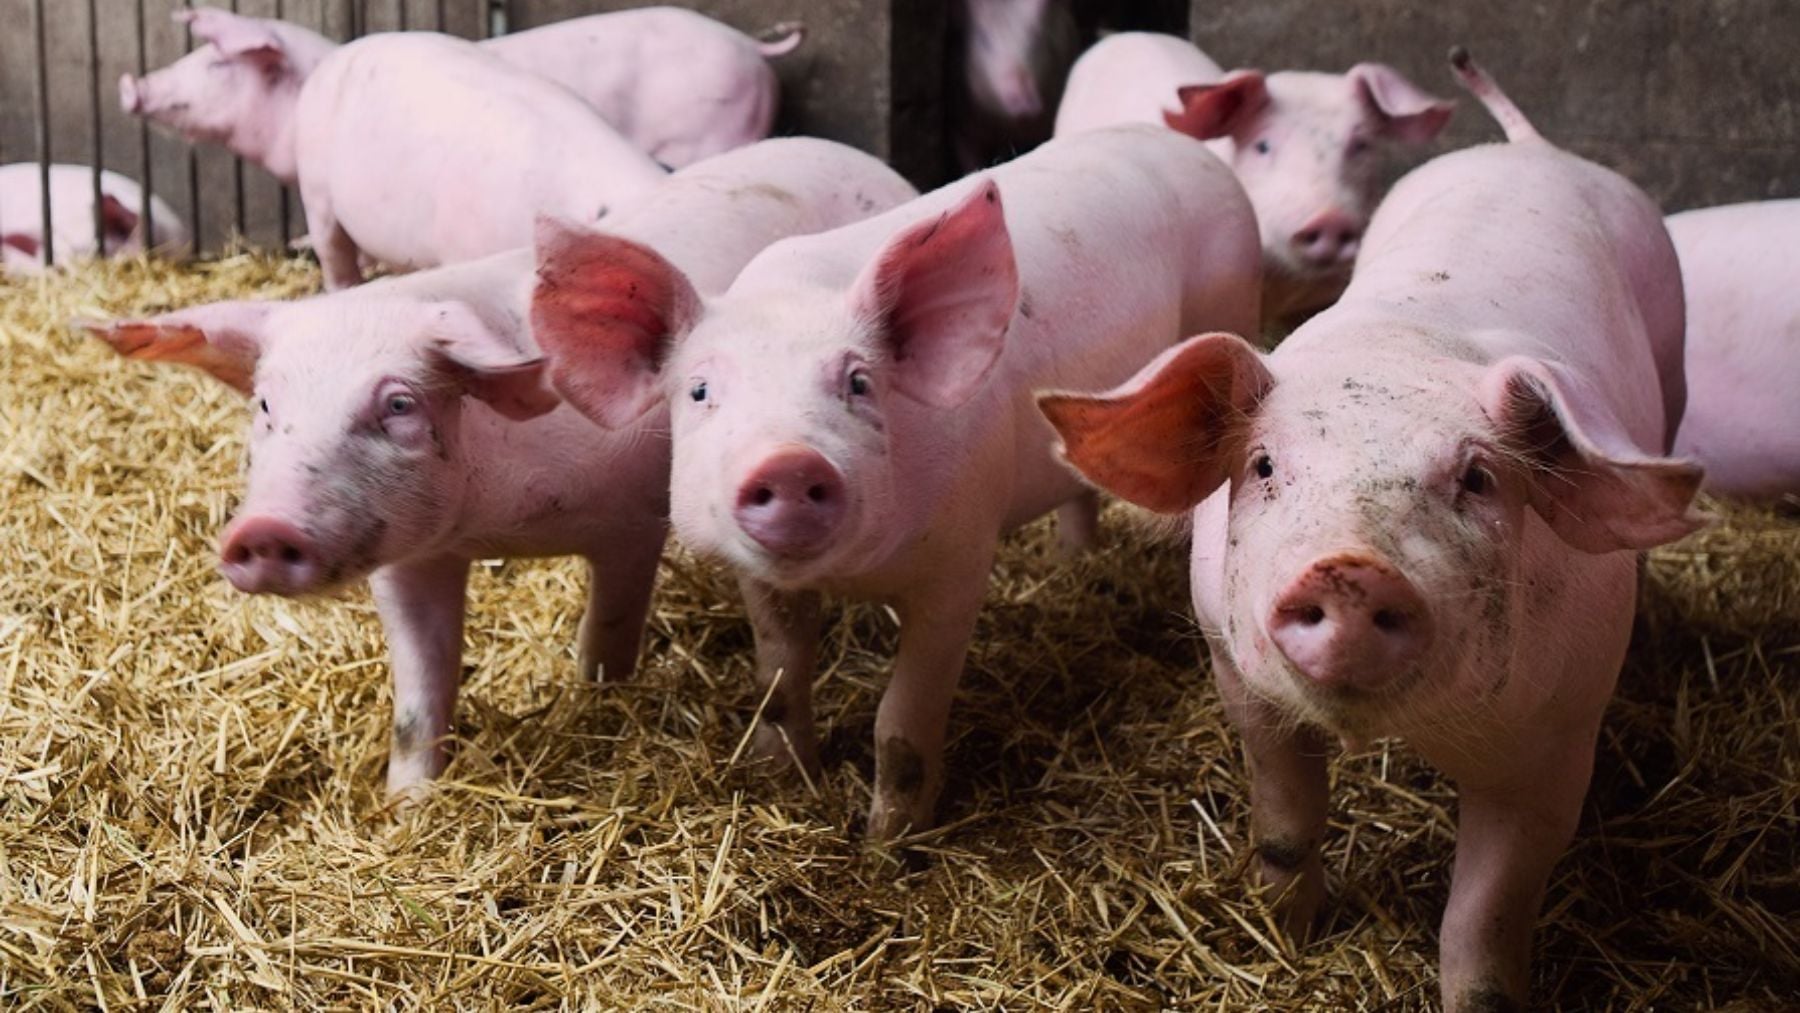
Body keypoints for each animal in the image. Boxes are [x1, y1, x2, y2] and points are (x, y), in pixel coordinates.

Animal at [84, 138, 918, 796]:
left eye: (398, 404)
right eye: (265, 404)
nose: (261, 529)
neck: (494, 522)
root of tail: (865, 158)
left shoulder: (631, 519)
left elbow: (609, 628)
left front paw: (598, 694)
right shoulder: (411, 559)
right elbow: (418, 697)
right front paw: (406, 806)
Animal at [532, 124, 1261, 840]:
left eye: (858, 382)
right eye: (700, 390)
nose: (789, 462)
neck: (852, 577)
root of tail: (1187, 148)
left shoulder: (961, 563)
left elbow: (901, 725)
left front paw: (889, 844)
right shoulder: (761, 579)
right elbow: (777, 680)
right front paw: (782, 777)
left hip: (1229, 310)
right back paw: (1070, 560)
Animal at [949, 0, 1082, 172]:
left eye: (1039, 37)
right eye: (984, 41)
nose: (1026, 98)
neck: (1012, 126)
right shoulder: (962, 121)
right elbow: (968, 156)